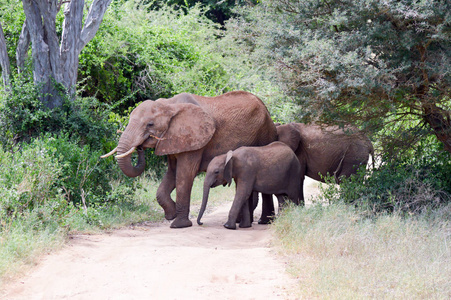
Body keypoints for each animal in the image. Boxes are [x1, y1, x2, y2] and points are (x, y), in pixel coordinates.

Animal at [102, 91, 278, 227]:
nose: (139, 147)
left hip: (266, 133)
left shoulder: (195, 139)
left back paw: (264, 222)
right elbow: (172, 174)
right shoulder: (174, 139)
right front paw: (171, 215)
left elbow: (184, 174)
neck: (169, 105)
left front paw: (178, 225)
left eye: (150, 124)